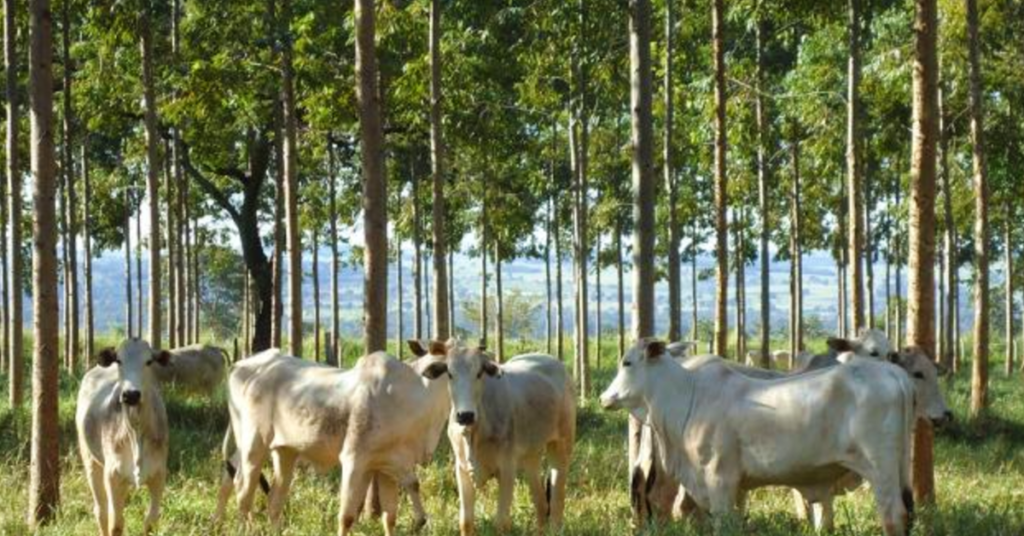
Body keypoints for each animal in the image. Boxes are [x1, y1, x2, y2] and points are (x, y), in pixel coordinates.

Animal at [76, 340, 172, 536]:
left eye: (149, 361)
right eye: (119, 360)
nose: (131, 394)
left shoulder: (159, 475)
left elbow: (151, 522)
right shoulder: (113, 475)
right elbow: (116, 525)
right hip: (90, 460)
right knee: (102, 511)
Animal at [218, 346, 450, 532]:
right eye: (447, 370)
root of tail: (241, 365)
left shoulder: (390, 463)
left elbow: (401, 501)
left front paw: (420, 520)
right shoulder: (354, 459)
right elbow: (347, 516)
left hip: (284, 452)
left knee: (272, 498)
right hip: (253, 444)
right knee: (242, 489)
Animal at [417, 342, 577, 532]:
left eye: (479, 373)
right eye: (450, 374)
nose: (465, 415)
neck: (476, 431)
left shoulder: (507, 469)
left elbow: (501, 522)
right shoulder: (461, 469)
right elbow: (466, 521)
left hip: (561, 445)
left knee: (557, 503)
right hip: (531, 455)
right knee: (541, 503)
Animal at [602, 340, 917, 536]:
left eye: (627, 362)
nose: (605, 396)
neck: (687, 396)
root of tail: (894, 374)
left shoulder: (720, 480)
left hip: (881, 469)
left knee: (893, 517)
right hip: (901, 467)